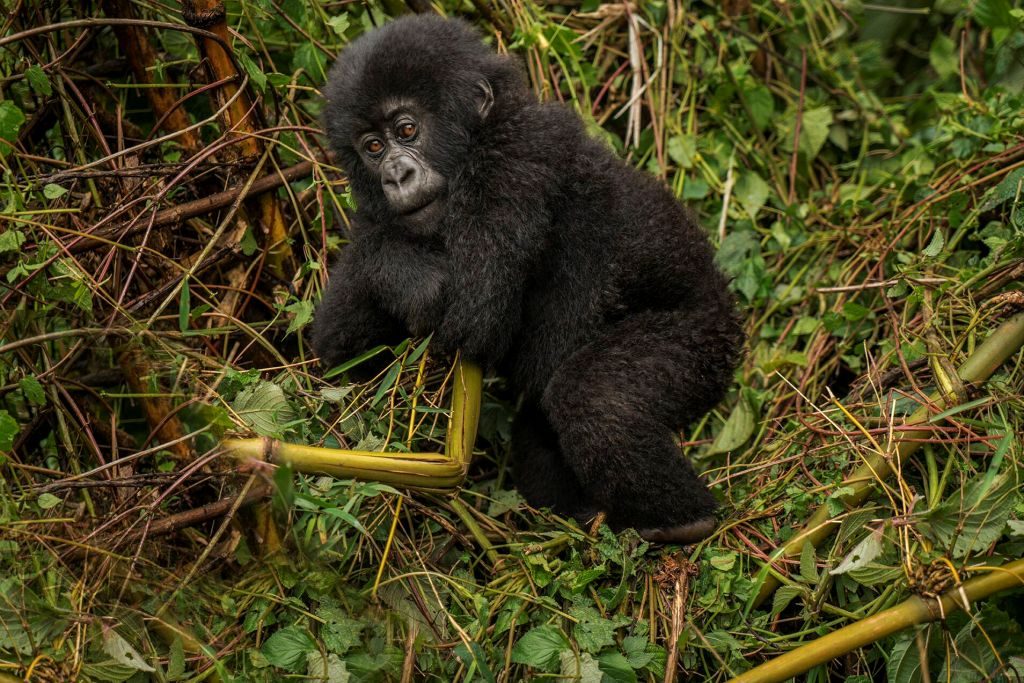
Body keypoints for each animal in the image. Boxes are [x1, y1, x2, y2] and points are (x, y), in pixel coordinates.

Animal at [311, 14, 745, 544]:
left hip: (708, 340)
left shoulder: (515, 156)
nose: (396, 176)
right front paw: (403, 273)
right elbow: (338, 353)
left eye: (407, 129)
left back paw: (683, 522)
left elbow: (478, 312)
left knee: (596, 397)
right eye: (372, 147)